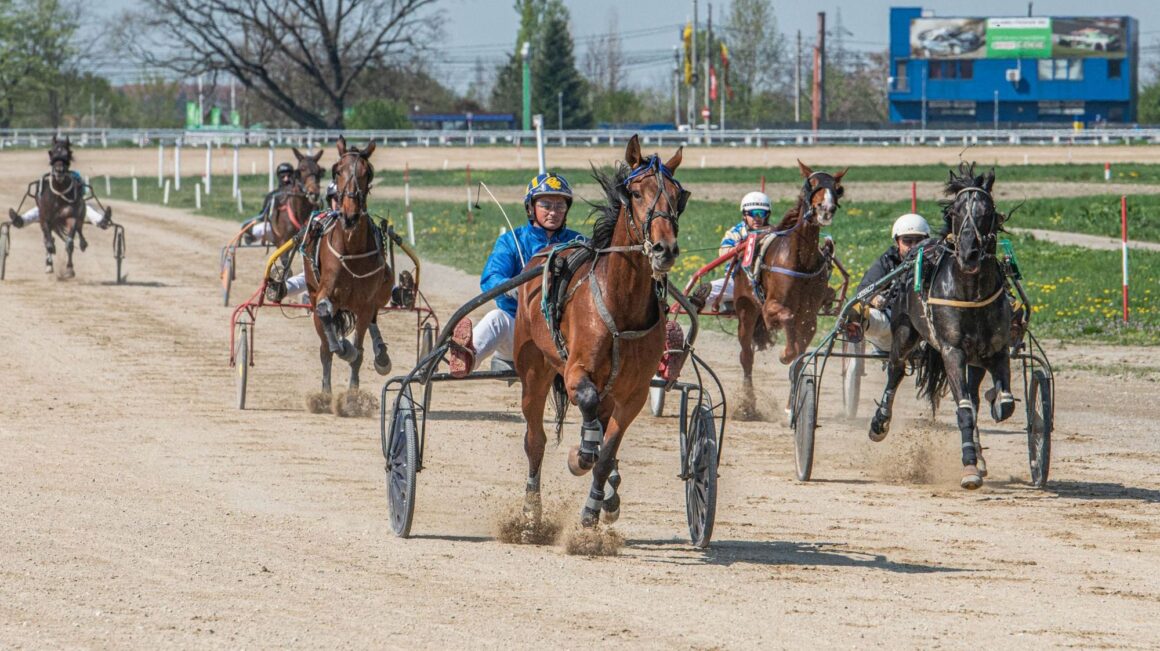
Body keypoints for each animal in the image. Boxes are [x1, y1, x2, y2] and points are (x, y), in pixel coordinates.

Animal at [301, 135, 396, 401]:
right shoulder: (325, 292)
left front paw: (353, 398)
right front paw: (342, 347)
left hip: (381, 292)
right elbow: (327, 322)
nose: (350, 215)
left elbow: (360, 350)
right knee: (325, 343)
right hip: (313, 293)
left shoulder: (365, 303)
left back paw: (381, 355)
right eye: (336, 170)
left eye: (368, 173)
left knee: (374, 320)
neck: (352, 249)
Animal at [510, 135, 682, 529]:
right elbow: (585, 411)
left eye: (678, 194)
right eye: (636, 192)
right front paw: (581, 454)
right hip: (534, 369)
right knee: (535, 439)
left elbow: (606, 454)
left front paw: (593, 507)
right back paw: (531, 509)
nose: (665, 249)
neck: (623, 306)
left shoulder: (633, 394)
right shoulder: (576, 371)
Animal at [733, 160, 844, 417]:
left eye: (837, 188)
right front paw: (785, 352)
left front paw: (791, 406)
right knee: (746, 356)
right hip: (746, 311)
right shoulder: (770, 307)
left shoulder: (810, 317)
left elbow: (799, 358)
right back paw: (747, 405)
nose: (826, 208)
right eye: (811, 184)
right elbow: (788, 318)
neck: (801, 261)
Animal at [867, 162, 1011, 487]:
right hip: (904, 332)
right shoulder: (952, 351)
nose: (969, 252)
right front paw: (969, 466)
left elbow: (1004, 403)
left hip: (975, 361)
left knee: (975, 393)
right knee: (895, 370)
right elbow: (964, 410)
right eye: (955, 211)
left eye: (987, 210)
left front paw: (996, 402)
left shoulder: (997, 351)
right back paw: (880, 422)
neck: (971, 291)